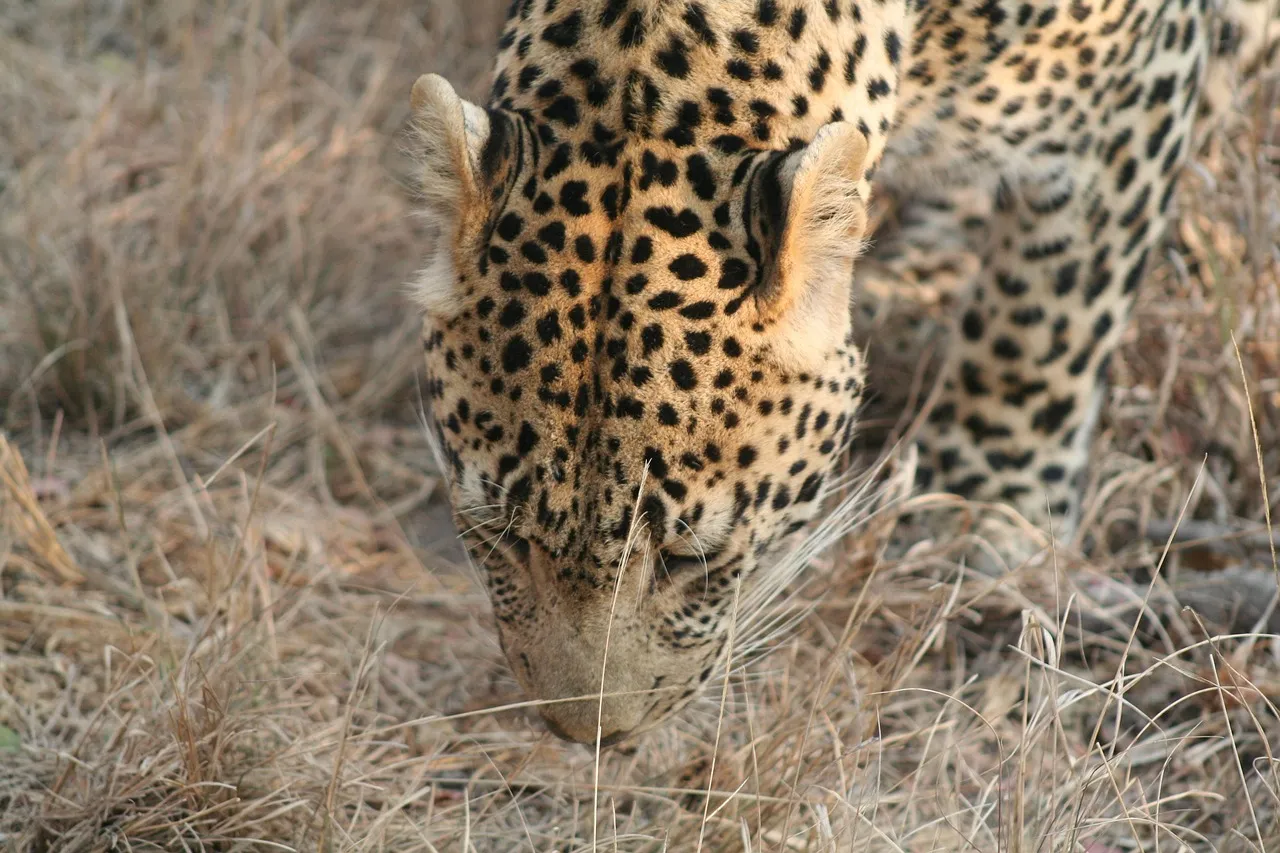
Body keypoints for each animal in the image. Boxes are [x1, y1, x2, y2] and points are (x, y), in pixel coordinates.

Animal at [408, 0, 1277, 746]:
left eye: (691, 560)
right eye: (500, 537)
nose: (587, 736)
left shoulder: (1133, 100)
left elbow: (1045, 316)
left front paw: (979, 517)